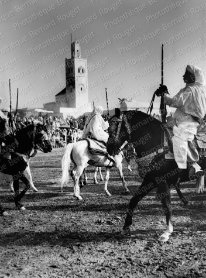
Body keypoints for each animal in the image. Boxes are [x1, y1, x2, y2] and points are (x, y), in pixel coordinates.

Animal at [107, 109, 205, 242]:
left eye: (113, 127)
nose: (109, 148)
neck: (157, 146)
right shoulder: (150, 180)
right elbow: (134, 200)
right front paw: (126, 227)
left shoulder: (162, 181)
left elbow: (167, 206)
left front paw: (167, 232)